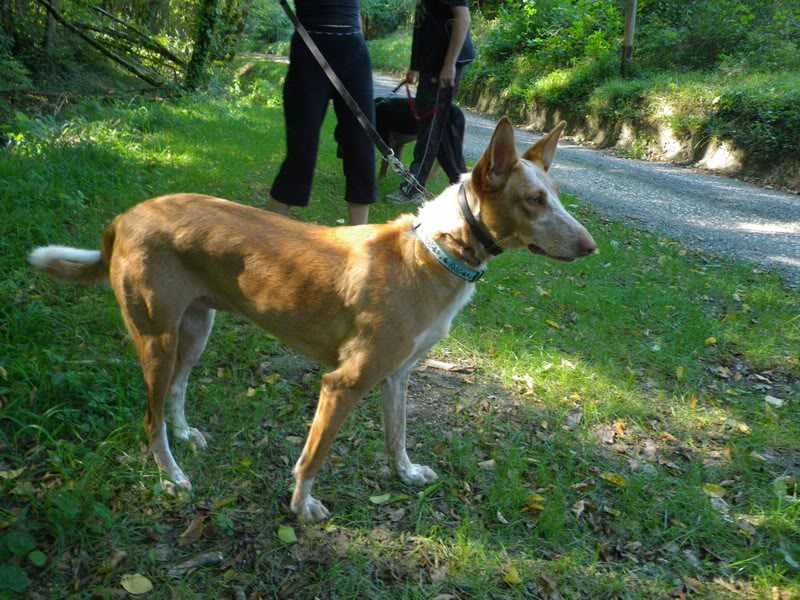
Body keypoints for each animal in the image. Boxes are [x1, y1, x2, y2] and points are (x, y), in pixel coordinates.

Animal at [29, 116, 592, 520]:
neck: (433, 250)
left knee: (176, 394)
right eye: (534, 200)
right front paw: (301, 508)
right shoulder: (343, 383)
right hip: (157, 340)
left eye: (558, 197)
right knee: (149, 421)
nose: (591, 248)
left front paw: (406, 475)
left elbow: (398, 435)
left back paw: (186, 435)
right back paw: (172, 476)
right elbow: (314, 456)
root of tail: (126, 216)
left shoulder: (397, 376)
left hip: (195, 330)